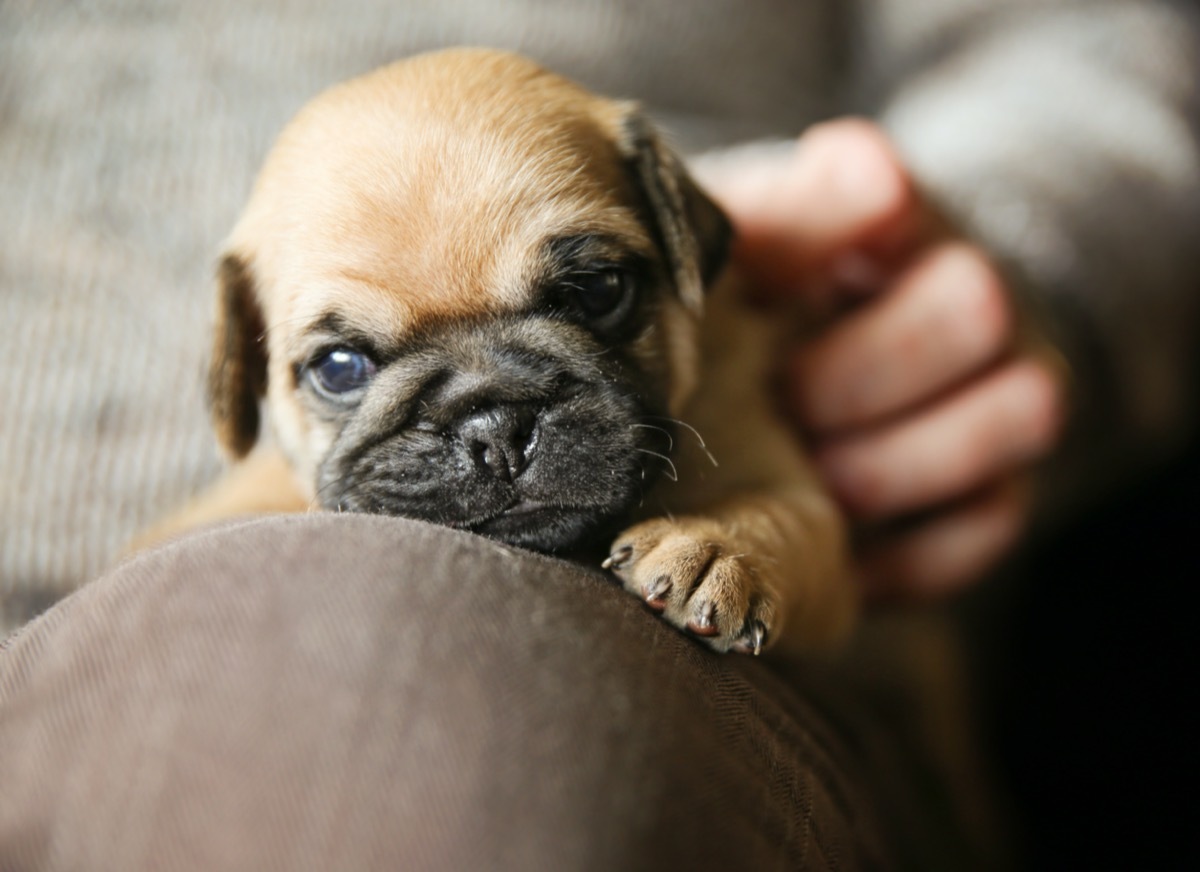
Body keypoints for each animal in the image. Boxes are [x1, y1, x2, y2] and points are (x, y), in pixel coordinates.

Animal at [150, 47, 859, 652]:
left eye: (599, 291)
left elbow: (780, 512)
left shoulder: (801, 508)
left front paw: (714, 549)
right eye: (339, 367)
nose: (496, 426)